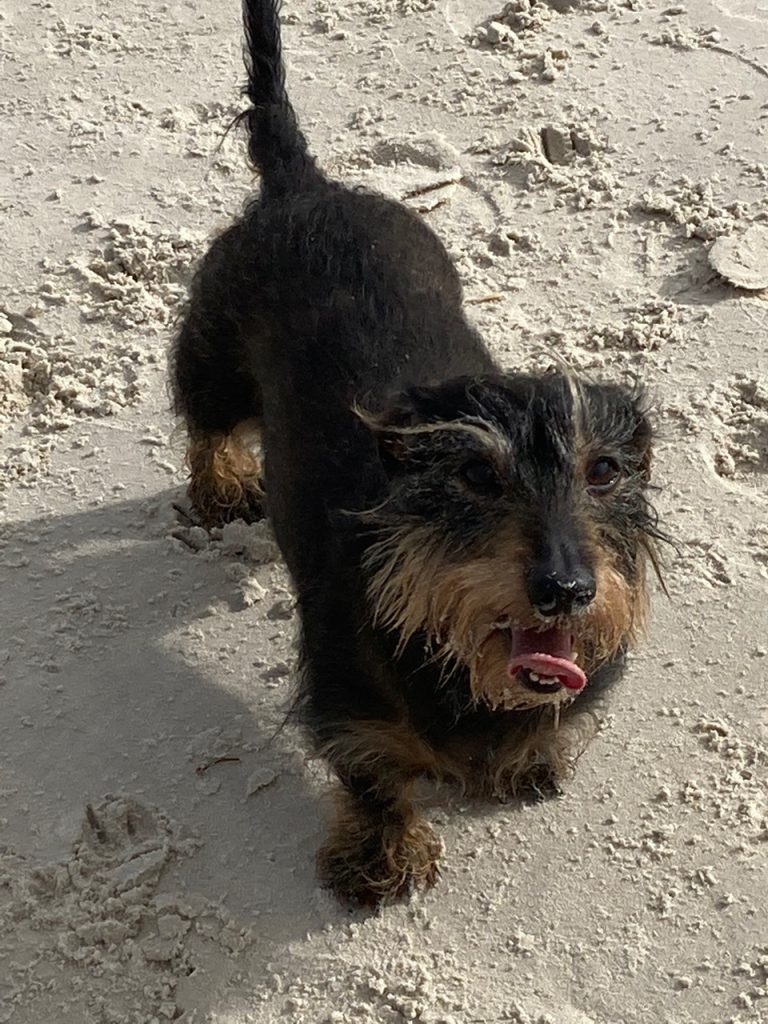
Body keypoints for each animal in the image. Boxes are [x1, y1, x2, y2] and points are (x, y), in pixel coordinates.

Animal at [171, 0, 663, 909]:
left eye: (605, 471)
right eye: (475, 474)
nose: (566, 590)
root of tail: (306, 187)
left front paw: (527, 762)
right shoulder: (348, 700)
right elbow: (372, 772)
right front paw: (381, 856)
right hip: (213, 353)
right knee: (205, 422)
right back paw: (222, 485)